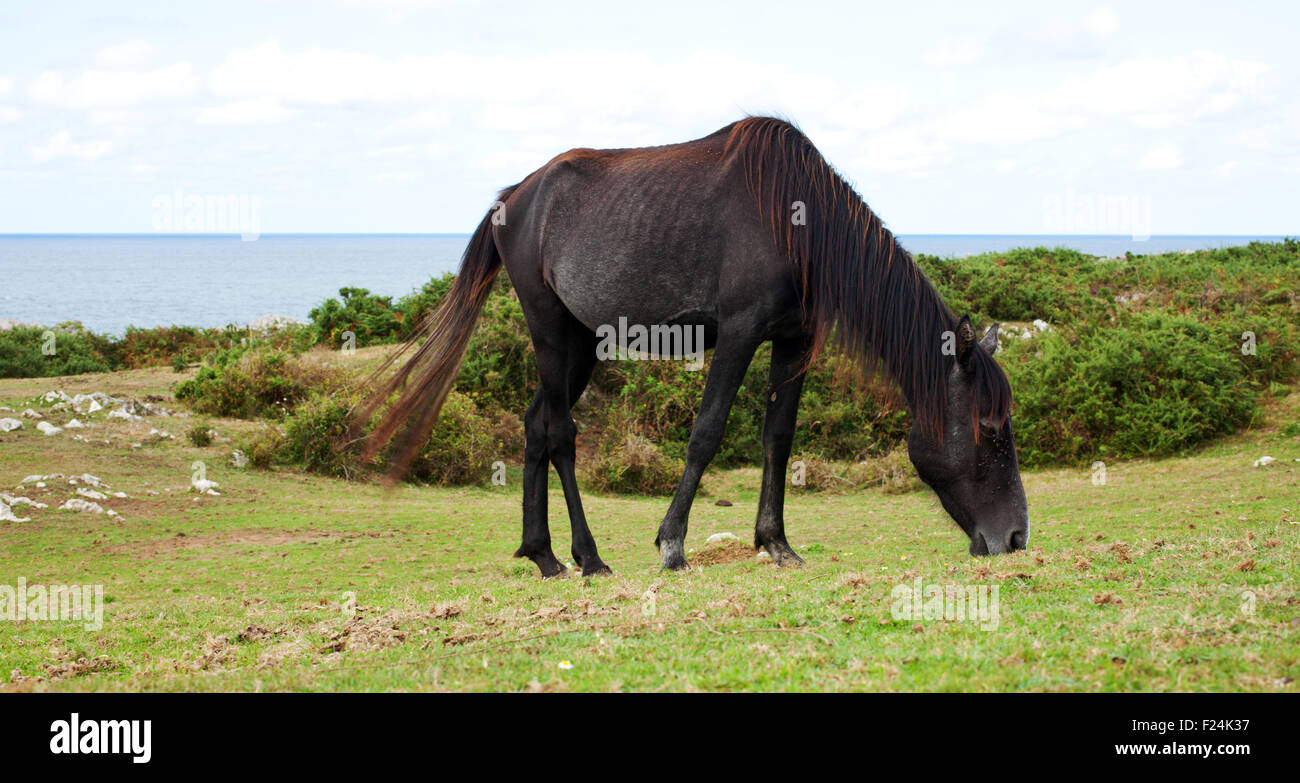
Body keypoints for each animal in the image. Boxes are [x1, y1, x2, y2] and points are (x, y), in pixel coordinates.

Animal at [353, 117, 1024, 580]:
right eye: (988, 430)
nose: (1016, 538)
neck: (797, 219)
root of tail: (517, 196)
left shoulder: (794, 340)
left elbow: (778, 438)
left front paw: (776, 543)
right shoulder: (740, 332)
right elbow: (706, 432)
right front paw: (671, 543)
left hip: (580, 343)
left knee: (537, 425)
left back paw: (544, 556)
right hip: (547, 328)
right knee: (561, 434)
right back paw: (588, 557)